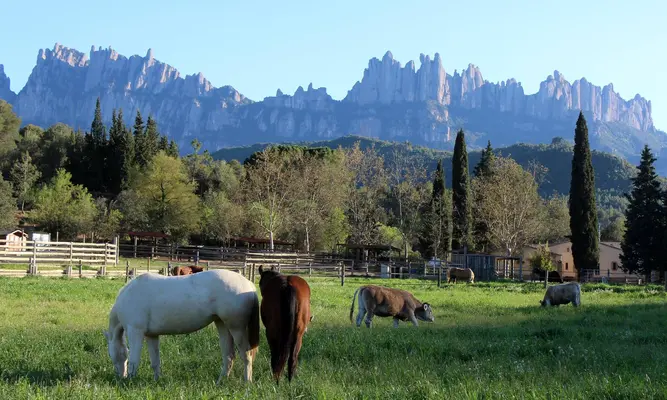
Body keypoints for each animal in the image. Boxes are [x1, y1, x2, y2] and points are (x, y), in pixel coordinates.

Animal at [102, 270, 260, 383]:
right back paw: (220, 382)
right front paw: (157, 380)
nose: (120, 377)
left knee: (246, 355)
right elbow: (155, 362)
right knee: (229, 356)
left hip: (237, 329)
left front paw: (130, 381)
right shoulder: (151, 335)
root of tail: (249, 284)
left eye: (110, 354)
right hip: (223, 326)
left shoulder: (135, 332)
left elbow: (134, 361)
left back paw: (247, 383)